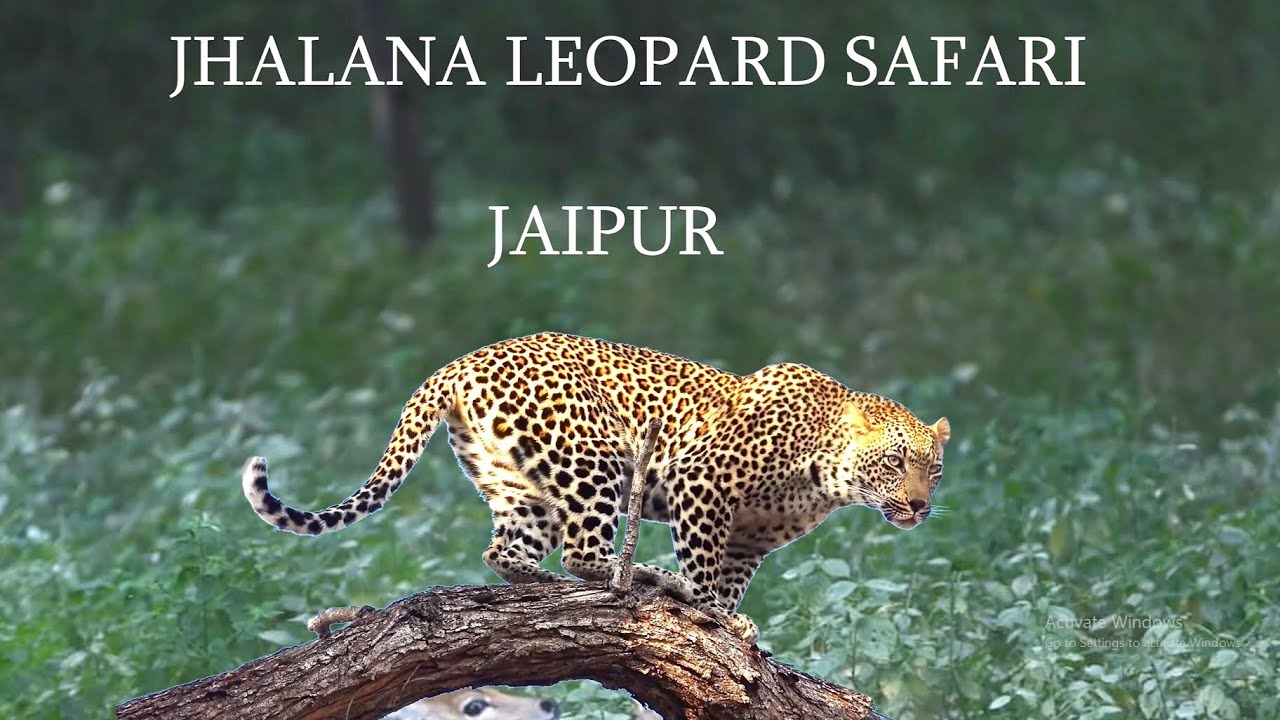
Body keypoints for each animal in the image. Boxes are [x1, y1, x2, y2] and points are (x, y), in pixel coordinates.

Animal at [242, 332, 950, 642]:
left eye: (934, 469)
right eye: (894, 462)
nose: (919, 506)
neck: (825, 472)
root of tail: (459, 361)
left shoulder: (750, 541)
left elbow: (729, 578)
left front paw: (731, 620)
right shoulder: (701, 486)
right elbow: (705, 572)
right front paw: (712, 613)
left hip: (521, 486)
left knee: (507, 553)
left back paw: (544, 588)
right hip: (596, 459)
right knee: (587, 554)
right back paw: (645, 580)